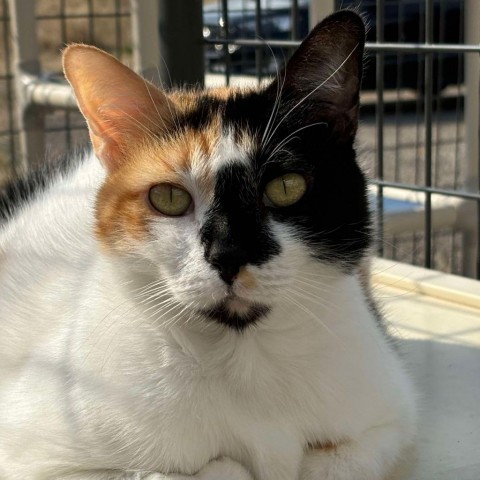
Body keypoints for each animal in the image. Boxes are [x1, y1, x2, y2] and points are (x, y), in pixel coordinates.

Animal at [0, 8, 414, 480]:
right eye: (168, 198)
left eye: (285, 187)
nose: (228, 254)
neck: (247, 361)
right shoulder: (35, 456)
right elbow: (209, 470)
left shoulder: (389, 417)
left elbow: (336, 461)